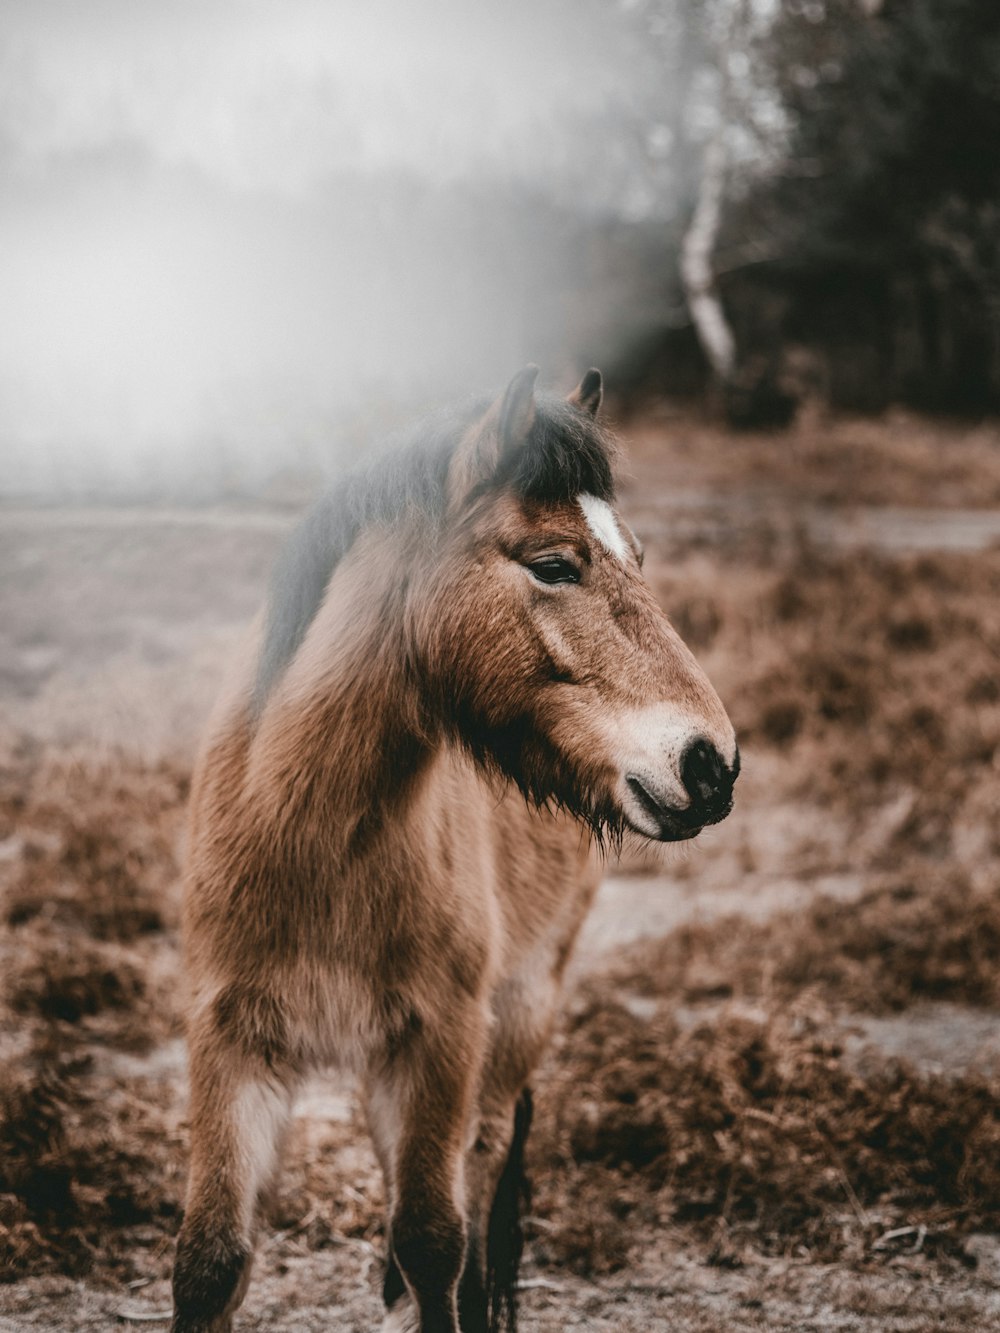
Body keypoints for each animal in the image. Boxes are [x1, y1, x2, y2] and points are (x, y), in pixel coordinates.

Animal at [170, 367, 736, 1333]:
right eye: (553, 564)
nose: (711, 763)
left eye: (639, 558)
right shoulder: (231, 1037)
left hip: (517, 1012)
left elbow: (437, 1240)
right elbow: (211, 1259)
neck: (314, 836)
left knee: (477, 1171)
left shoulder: (444, 1036)